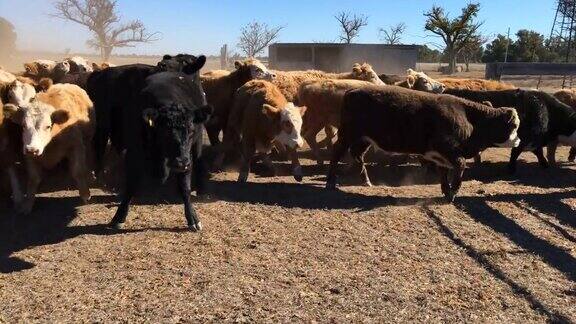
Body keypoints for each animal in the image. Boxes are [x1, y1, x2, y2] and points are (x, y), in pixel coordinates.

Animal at [3, 83, 94, 214]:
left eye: (48, 126)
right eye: (24, 126)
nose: (32, 149)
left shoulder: (76, 146)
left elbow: (78, 171)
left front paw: (85, 194)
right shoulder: (29, 156)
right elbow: (33, 178)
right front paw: (27, 204)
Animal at [108, 55, 212, 230]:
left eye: (191, 131)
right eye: (164, 132)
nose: (181, 162)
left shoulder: (188, 155)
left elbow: (185, 187)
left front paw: (193, 218)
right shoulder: (133, 152)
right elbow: (130, 185)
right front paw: (119, 217)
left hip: (196, 148)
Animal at [326, 85, 520, 201]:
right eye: (515, 125)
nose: (518, 140)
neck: (468, 117)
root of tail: (352, 91)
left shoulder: (442, 156)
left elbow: (444, 172)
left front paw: (447, 191)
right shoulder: (448, 149)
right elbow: (461, 165)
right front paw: (453, 192)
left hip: (364, 139)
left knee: (357, 155)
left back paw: (365, 179)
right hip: (347, 135)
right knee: (336, 154)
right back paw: (330, 182)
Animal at [440, 88, 576, 173]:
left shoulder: (534, 141)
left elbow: (539, 153)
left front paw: (545, 164)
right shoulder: (524, 139)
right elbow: (515, 154)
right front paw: (511, 169)